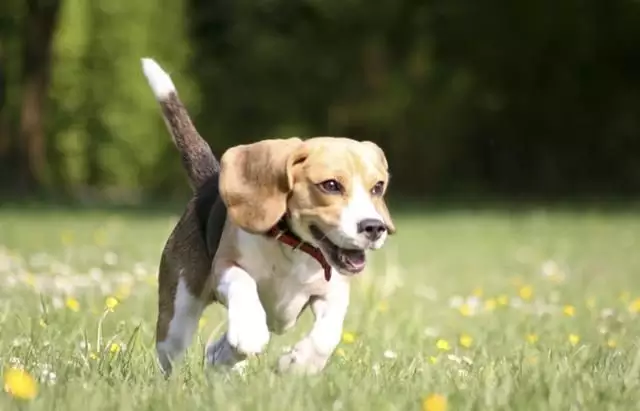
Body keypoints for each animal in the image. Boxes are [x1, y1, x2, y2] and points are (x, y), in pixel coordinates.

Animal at [141, 58, 396, 376]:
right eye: (330, 185)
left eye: (378, 187)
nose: (374, 228)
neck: (295, 247)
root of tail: (209, 182)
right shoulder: (226, 266)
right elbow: (243, 285)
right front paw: (250, 331)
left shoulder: (334, 292)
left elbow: (328, 334)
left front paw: (298, 364)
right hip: (178, 312)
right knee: (174, 353)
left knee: (217, 351)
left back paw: (224, 361)